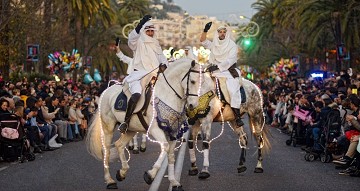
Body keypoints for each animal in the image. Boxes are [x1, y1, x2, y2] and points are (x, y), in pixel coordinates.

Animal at [86, 58, 200, 191]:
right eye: (192, 81)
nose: (193, 105)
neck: (166, 95)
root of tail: (105, 92)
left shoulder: (173, 132)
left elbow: (171, 155)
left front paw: (174, 182)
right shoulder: (156, 129)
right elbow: (165, 147)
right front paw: (150, 175)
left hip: (131, 129)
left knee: (119, 145)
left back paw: (122, 172)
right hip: (108, 128)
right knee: (106, 151)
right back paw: (110, 181)